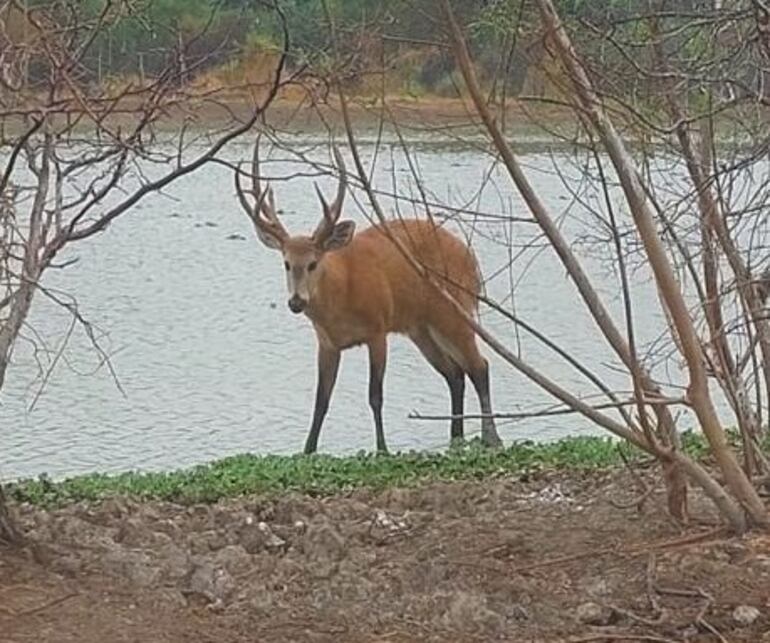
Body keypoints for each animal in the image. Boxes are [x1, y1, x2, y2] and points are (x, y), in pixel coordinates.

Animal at [234, 141, 500, 452]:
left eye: (313, 263)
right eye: (286, 263)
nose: (296, 302)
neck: (342, 297)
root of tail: (471, 258)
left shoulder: (378, 328)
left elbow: (375, 395)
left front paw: (382, 449)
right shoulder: (327, 343)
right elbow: (321, 401)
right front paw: (307, 450)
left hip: (454, 309)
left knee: (479, 366)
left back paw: (491, 438)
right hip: (420, 327)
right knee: (455, 374)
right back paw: (455, 437)